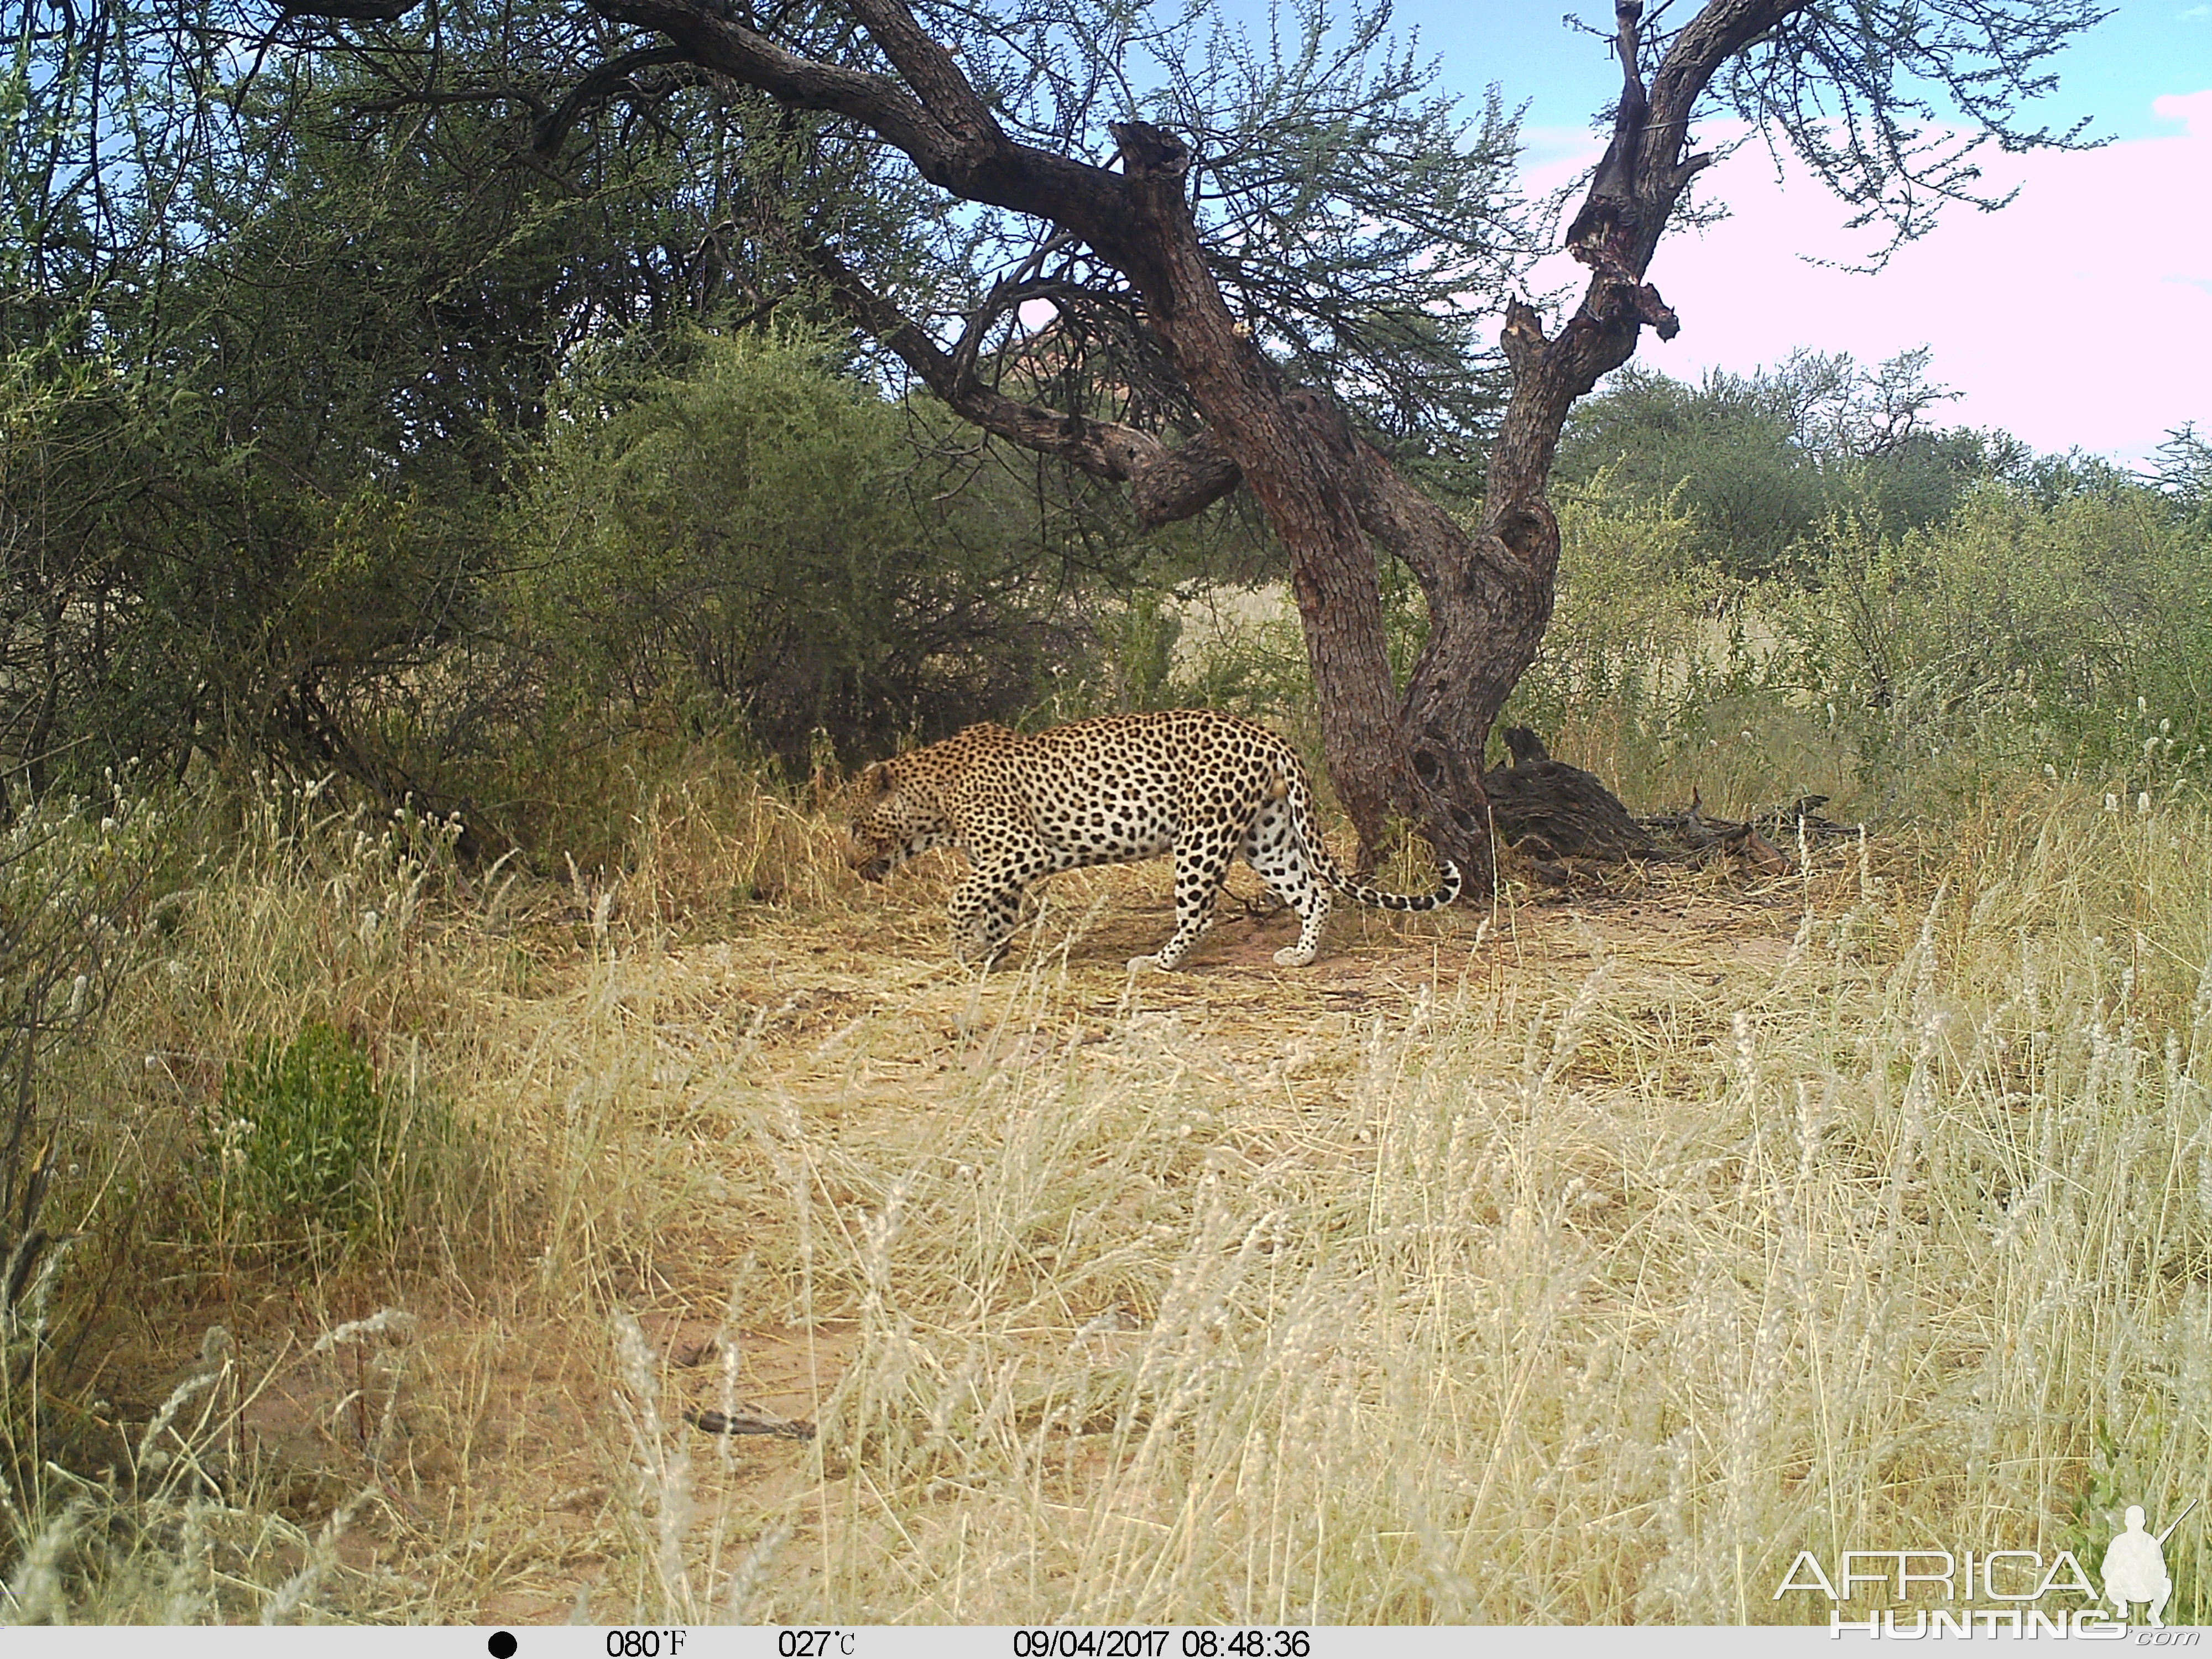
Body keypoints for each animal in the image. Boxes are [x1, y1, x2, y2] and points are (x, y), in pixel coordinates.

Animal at [854, 712, 1460, 973]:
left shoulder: (1019, 852)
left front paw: (962, 950)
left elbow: (960, 898)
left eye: (857, 824)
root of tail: (1268, 734)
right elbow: (997, 912)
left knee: (1200, 914)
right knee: (1313, 891)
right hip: (1266, 835)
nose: (853, 863)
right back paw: (1302, 955)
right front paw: (988, 956)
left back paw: (1156, 962)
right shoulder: (1001, 863)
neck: (932, 799)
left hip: (1201, 836)